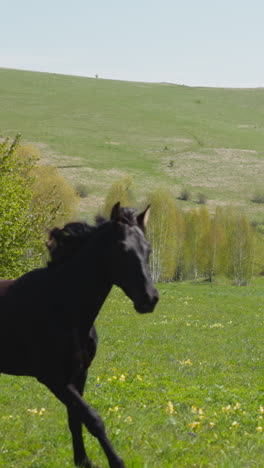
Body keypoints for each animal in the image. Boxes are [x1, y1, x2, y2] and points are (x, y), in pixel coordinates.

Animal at [0, 203, 159, 468]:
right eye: (121, 249)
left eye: (148, 249)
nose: (149, 298)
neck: (63, 306)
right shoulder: (52, 377)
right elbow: (92, 418)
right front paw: (116, 461)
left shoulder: (79, 373)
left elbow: (75, 418)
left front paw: (83, 460)